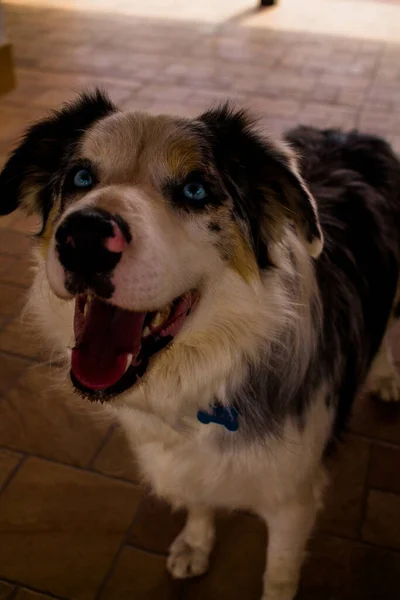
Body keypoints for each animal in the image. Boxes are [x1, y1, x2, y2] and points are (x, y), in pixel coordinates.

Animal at [0, 90, 400, 600]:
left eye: (195, 191)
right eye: (81, 178)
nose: (84, 236)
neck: (211, 371)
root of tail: (349, 134)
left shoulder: (293, 498)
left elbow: (279, 573)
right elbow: (199, 502)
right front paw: (195, 543)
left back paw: (386, 377)